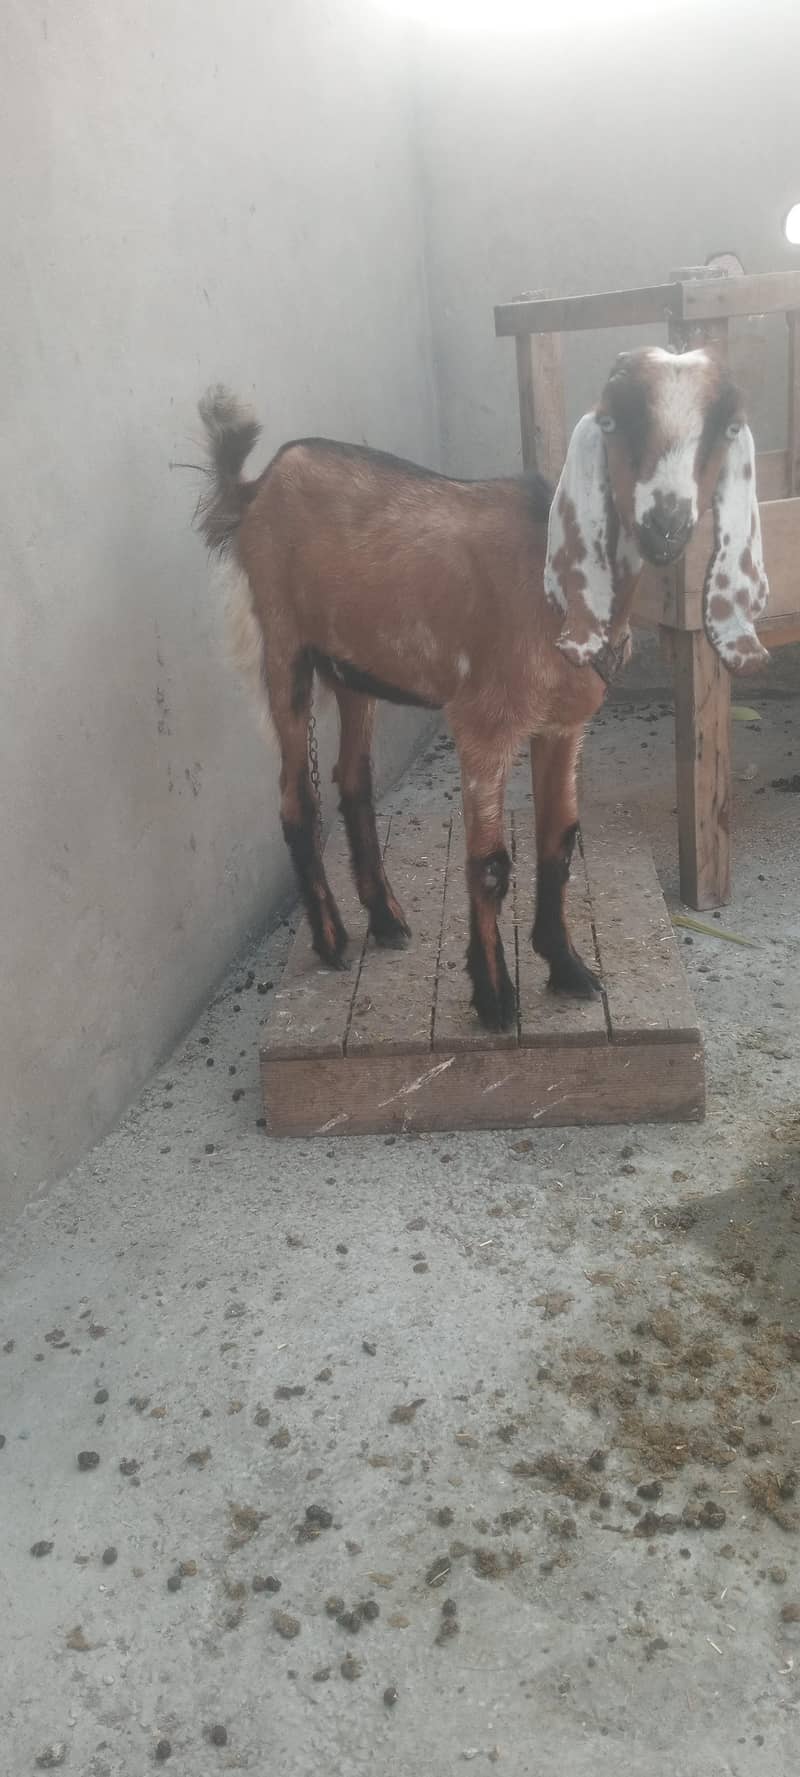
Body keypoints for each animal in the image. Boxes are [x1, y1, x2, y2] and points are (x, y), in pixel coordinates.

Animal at [195, 347, 768, 1032]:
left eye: (723, 428)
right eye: (614, 419)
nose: (667, 523)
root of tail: (258, 485)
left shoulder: (563, 724)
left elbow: (559, 843)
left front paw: (568, 969)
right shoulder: (484, 723)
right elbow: (491, 864)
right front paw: (495, 999)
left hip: (355, 666)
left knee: (353, 781)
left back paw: (386, 920)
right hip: (284, 647)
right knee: (294, 798)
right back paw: (331, 939)